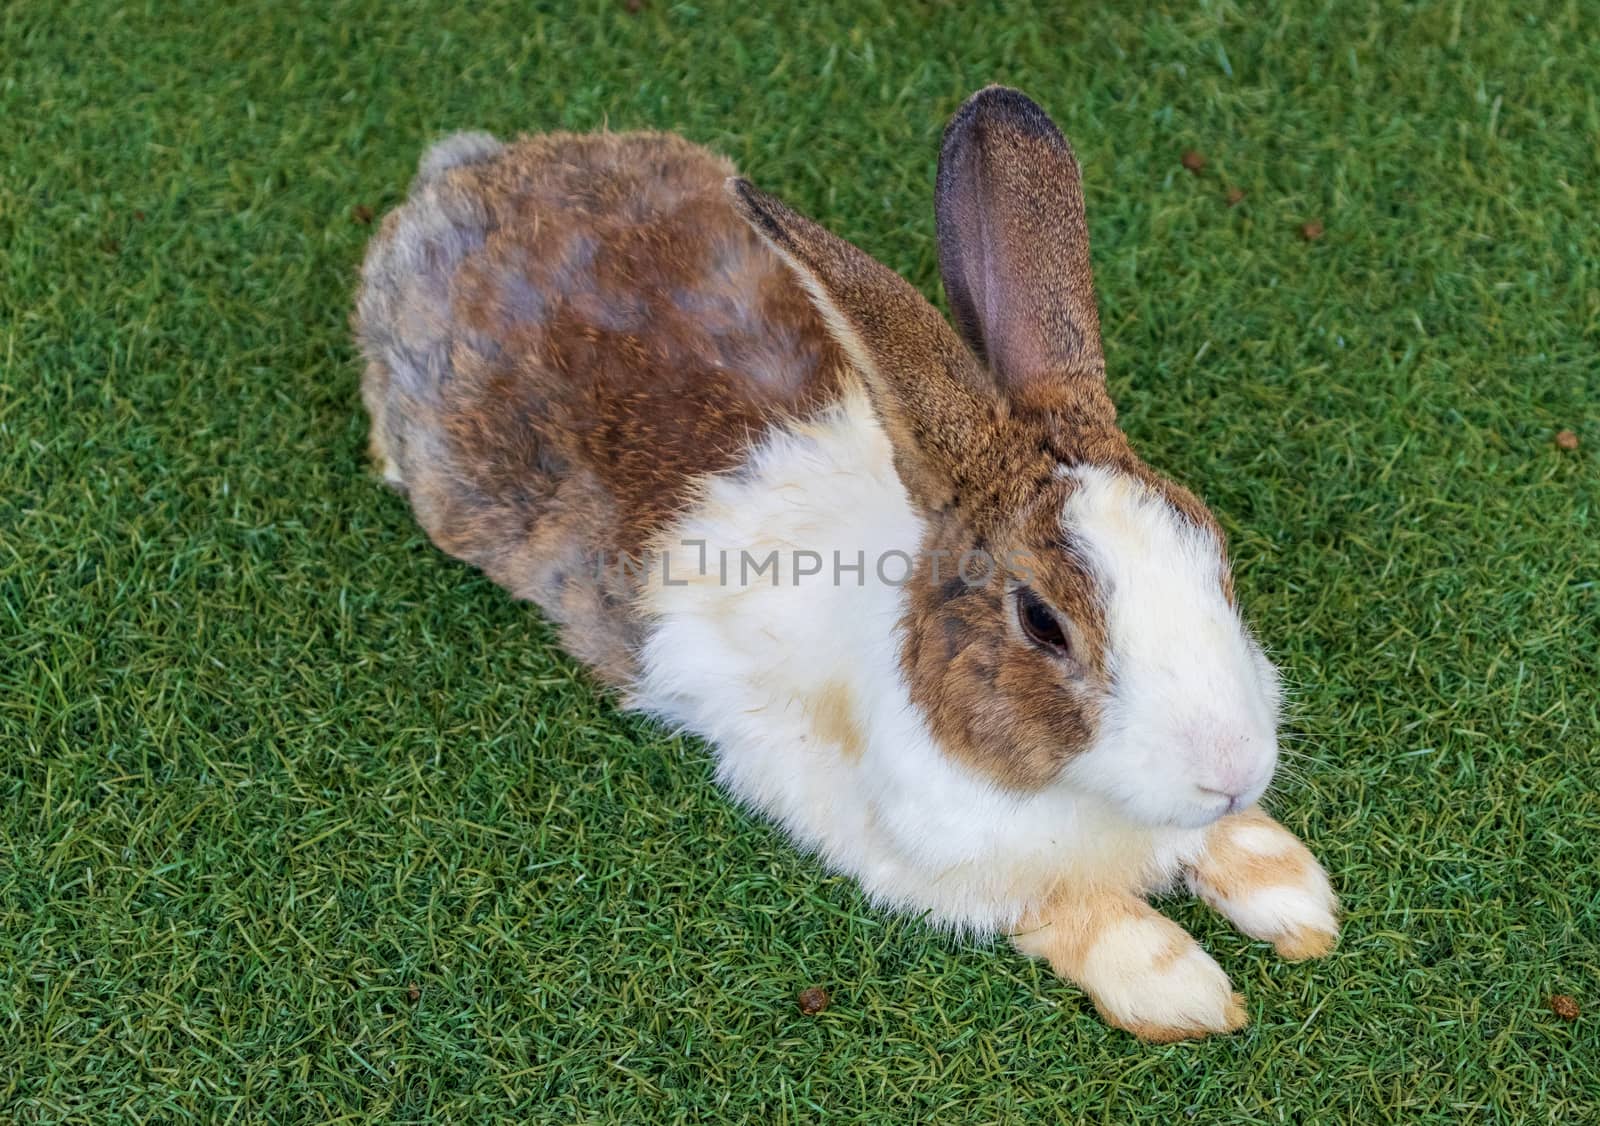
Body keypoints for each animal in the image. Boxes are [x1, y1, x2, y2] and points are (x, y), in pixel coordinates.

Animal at [353, 83, 1337, 1042]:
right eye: (1042, 622)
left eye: (1212, 552)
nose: (1233, 772)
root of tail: (466, 173)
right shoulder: (927, 861)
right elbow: (1078, 912)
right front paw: (1188, 995)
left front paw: (1296, 896)